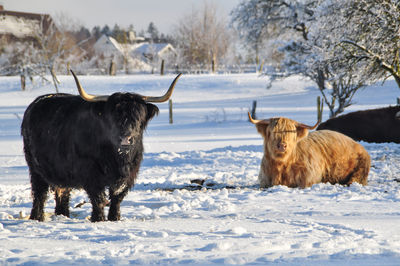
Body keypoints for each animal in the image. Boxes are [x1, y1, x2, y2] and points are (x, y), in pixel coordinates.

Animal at [21, 71, 181, 222]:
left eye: (139, 117)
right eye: (113, 117)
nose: (125, 139)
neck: (118, 159)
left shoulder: (129, 175)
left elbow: (117, 198)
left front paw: (115, 218)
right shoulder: (91, 174)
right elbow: (98, 199)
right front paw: (98, 219)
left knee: (62, 195)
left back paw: (63, 215)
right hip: (35, 169)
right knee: (39, 194)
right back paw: (37, 217)